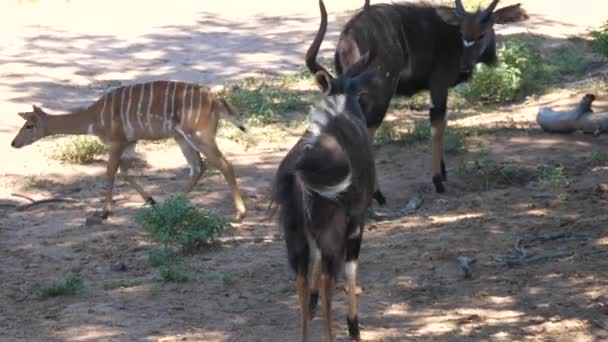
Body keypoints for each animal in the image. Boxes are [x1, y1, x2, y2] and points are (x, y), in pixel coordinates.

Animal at [10, 80, 247, 222]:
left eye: (29, 125)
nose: (13, 143)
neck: (94, 116)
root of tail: (215, 100)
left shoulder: (116, 143)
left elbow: (110, 172)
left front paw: (105, 212)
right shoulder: (130, 142)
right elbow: (125, 172)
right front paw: (151, 200)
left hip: (199, 135)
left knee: (224, 164)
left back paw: (239, 214)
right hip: (181, 137)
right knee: (197, 167)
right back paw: (173, 203)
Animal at [270, 69, 376, 342]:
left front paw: (312, 306)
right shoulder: (357, 219)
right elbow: (351, 269)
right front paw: (354, 327)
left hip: (295, 231)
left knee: (301, 278)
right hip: (333, 230)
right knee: (330, 278)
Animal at [306, 0, 528, 194]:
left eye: (482, 34)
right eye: (463, 33)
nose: (464, 65)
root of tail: (348, 37)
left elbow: (442, 122)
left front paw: (443, 172)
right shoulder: (438, 84)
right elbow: (437, 125)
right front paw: (438, 181)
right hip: (380, 93)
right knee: (367, 131)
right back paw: (377, 195)